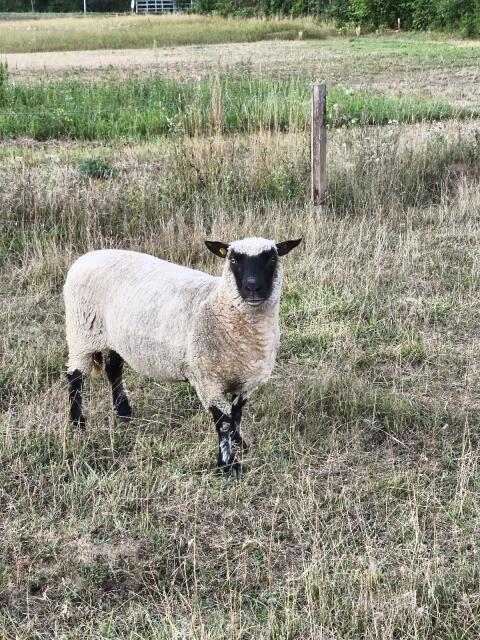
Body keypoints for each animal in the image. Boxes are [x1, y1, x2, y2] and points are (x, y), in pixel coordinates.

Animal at [64, 236, 301, 477]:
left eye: (271, 258)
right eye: (233, 259)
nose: (252, 287)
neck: (220, 306)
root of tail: (88, 256)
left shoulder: (246, 380)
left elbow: (237, 414)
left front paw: (241, 444)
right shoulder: (209, 381)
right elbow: (224, 422)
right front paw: (228, 464)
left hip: (114, 338)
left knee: (113, 370)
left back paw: (124, 413)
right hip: (82, 333)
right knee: (75, 377)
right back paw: (78, 422)